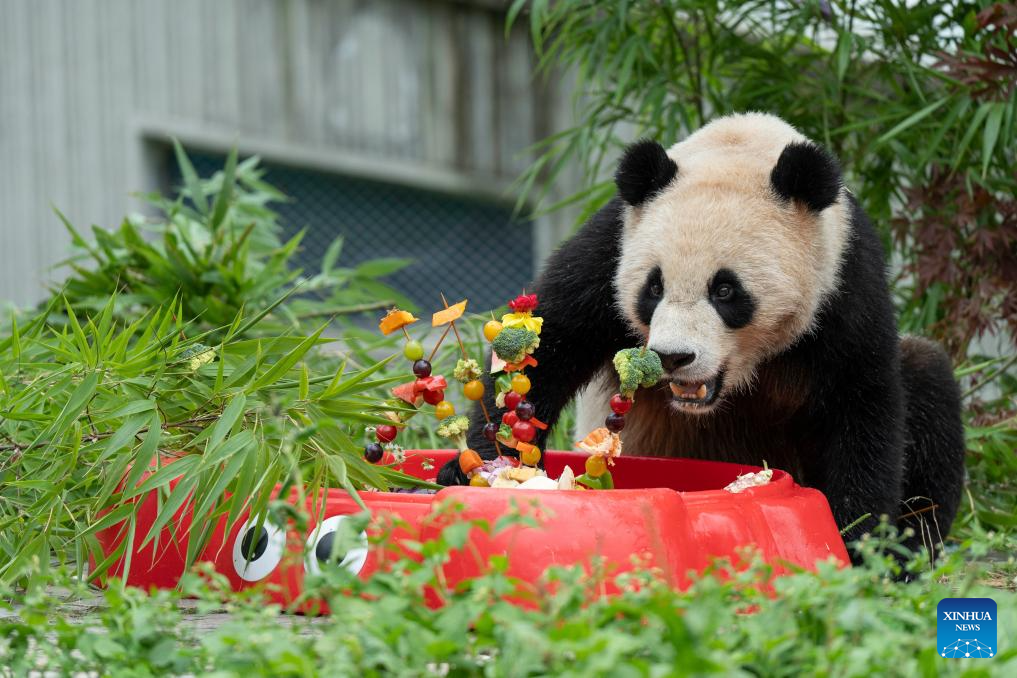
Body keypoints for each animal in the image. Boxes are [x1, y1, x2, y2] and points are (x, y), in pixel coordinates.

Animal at [437, 112, 960, 561]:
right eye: (654, 287)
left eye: (725, 290)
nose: (673, 357)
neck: (741, 148)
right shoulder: (612, 246)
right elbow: (550, 343)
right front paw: (482, 470)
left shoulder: (843, 282)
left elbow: (863, 403)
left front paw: (859, 541)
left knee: (927, 381)